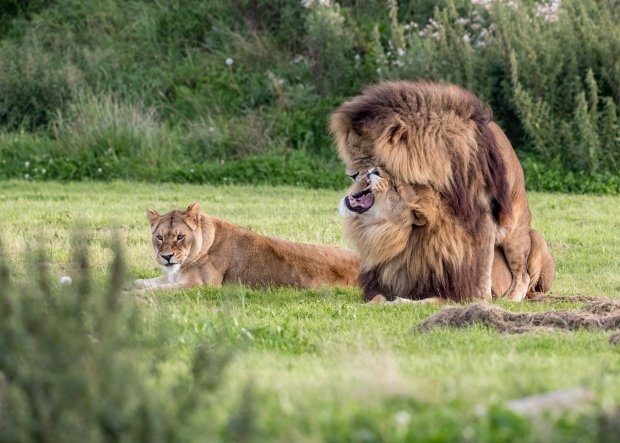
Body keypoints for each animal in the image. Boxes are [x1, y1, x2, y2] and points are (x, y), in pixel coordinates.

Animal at [133, 202, 360, 292]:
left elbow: (156, 291)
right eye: (159, 237)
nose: (167, 257)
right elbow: (141, 282)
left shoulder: (200, 285)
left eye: (180, 237)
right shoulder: (174, 277)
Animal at [332, 80, 536, 302]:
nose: (351, 175)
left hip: (515, 235)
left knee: (522, 274)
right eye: (350, 150)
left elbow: (482, 265)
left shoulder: (483, 214)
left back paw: (511, 298)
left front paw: (478, 298)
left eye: (364, 154)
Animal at [342, 172, 556, 304]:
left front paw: (395, 303)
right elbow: (377, 297)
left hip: (534, 238)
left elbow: (417, 302)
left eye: (396, 189)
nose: (374, 170)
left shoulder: (456, 295)